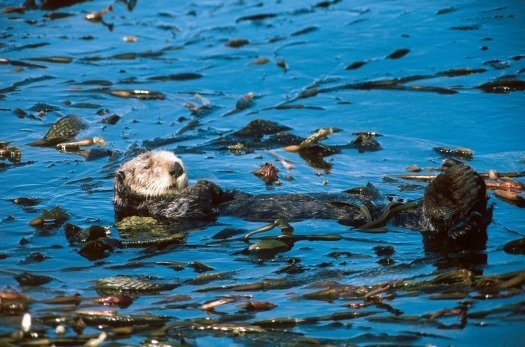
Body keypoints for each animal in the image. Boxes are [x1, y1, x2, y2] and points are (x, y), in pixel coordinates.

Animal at [113, 151, 492, 251]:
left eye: (174, 156)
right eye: (146, 165)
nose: (177, 167)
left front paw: (212, 185)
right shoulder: (162, 213)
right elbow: (188, 206)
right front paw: (204, 187)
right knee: (439, 224)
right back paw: (459, 188)